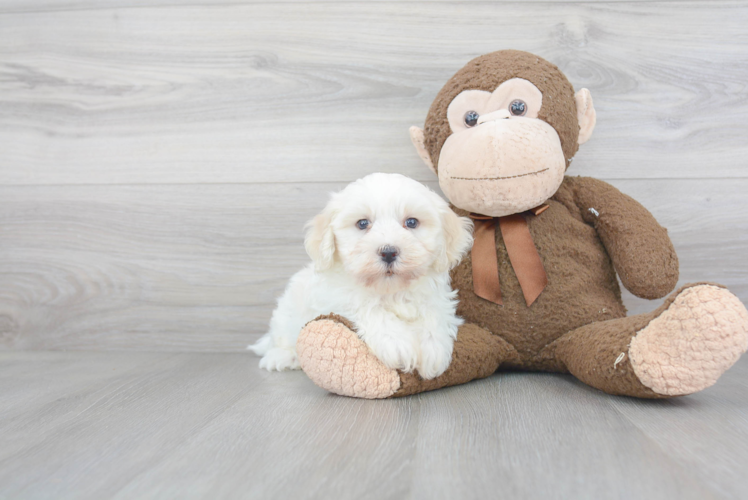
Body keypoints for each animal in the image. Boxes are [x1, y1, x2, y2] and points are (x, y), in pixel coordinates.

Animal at [250, 172, 474, 378]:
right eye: (362, 223)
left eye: (411, 222)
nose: (388, 252)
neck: (390, 290)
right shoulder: (336, 297)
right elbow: (369, 308)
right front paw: (397, 343)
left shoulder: (436, 297)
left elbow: (433, 314)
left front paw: (433, 350)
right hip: (286, 314)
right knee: (281, 338)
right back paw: (282, 357)